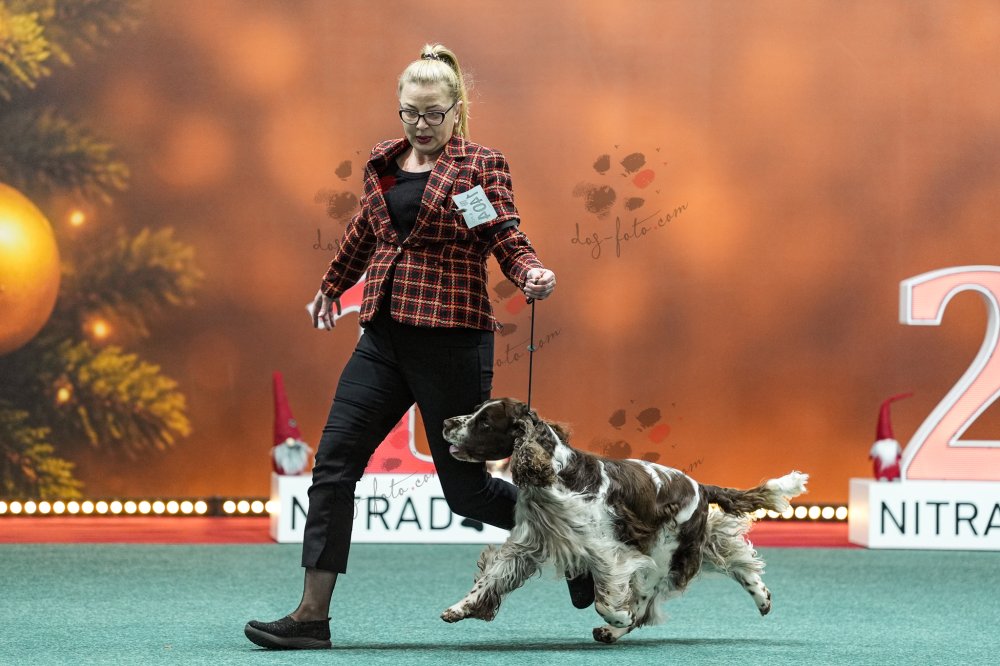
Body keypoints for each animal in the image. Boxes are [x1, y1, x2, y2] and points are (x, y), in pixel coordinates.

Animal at [440, 397, 808, 643]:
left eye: (485, 423)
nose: (445, 423)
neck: (555, 478)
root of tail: (700, 486)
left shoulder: (608, 552)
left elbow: (607, 601)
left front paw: (618, 616)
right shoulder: (527, 544)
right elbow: (490, 578)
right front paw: (459, 608)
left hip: (664, 551)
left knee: (646, 600)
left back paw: (613, 629)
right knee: (735, 558)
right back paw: (763, 598)